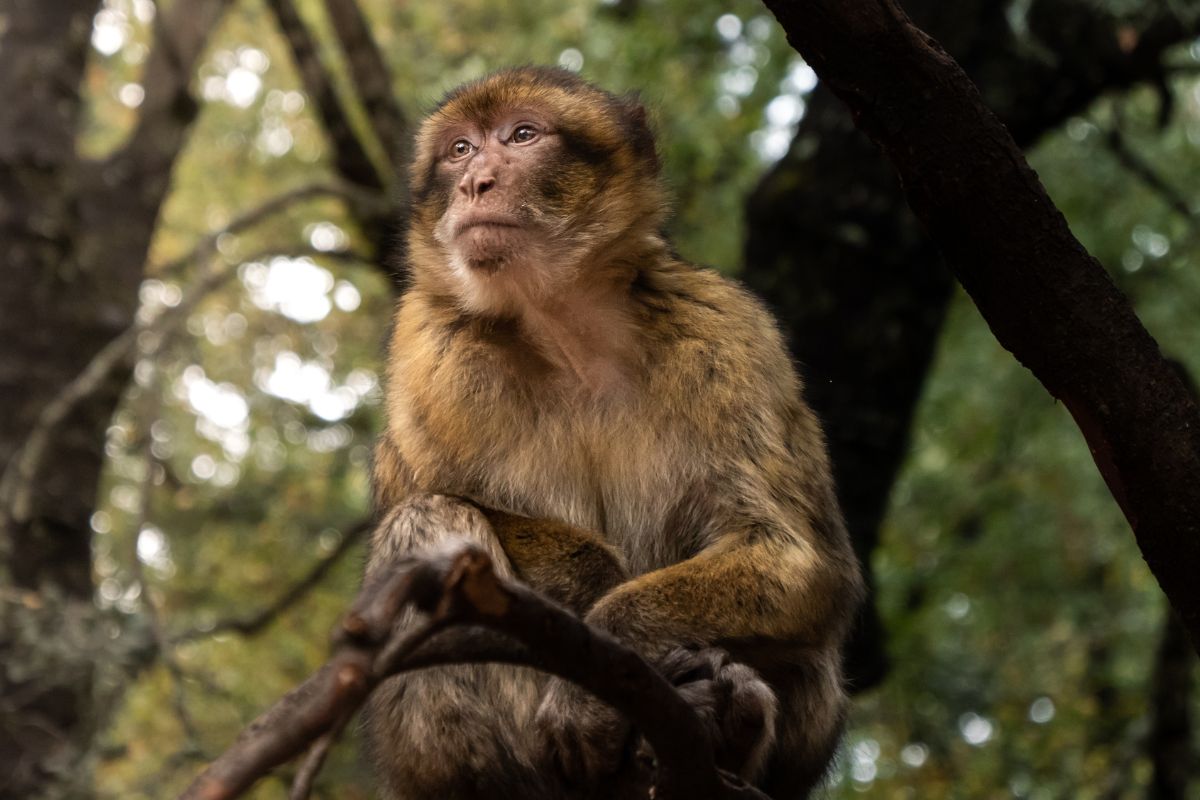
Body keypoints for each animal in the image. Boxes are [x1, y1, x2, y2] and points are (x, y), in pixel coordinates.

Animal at [364, 65, 864, 796]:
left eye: (522, 135)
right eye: (459, 149)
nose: (473, 182)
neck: (569, 334)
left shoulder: (728, 331)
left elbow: (798, 560)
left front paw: (608, 654)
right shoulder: (430, 350)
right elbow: (419, 497)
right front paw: (594, 589)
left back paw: (728, 723)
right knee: (426, 520)